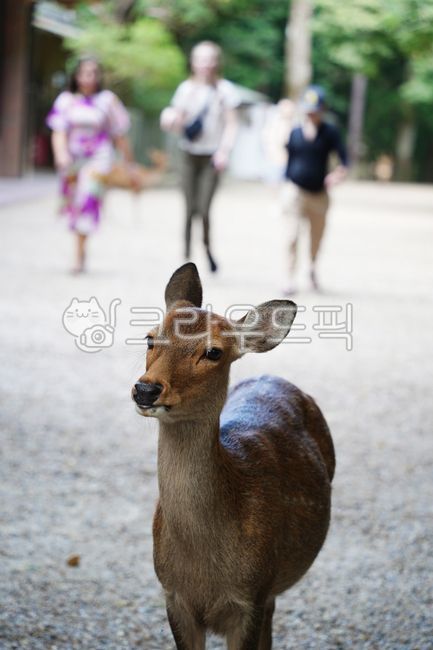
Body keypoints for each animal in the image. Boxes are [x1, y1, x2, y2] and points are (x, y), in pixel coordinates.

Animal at [131, 263, 335, 650]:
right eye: (150, 338)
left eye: (213, 352)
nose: (146, 389)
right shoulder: (172, 597)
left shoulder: (249, 598)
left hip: (270, 588)